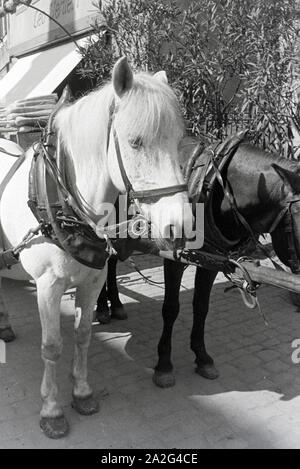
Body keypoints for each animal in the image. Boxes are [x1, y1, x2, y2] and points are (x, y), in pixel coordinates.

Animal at [0, 58, 192, 438]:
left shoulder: (92, 280)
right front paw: (52, 410)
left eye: (179, 141)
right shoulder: (47, 286)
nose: (179, 227)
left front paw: (82, 392)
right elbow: (52, 346)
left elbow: (84, 334)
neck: (65, 202)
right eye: (135, 142)